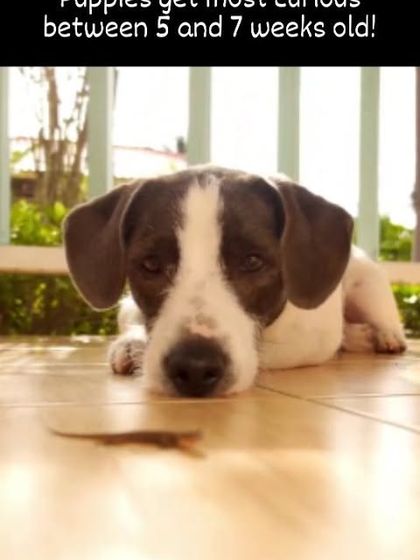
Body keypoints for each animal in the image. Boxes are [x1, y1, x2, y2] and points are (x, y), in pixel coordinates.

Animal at [64, 165, 406, 398]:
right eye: (150, 264)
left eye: (252, 261)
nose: (194, 367)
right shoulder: (128, 308)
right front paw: (132, 345)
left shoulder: (312, 339)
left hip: (367, 282)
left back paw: (381, 335)